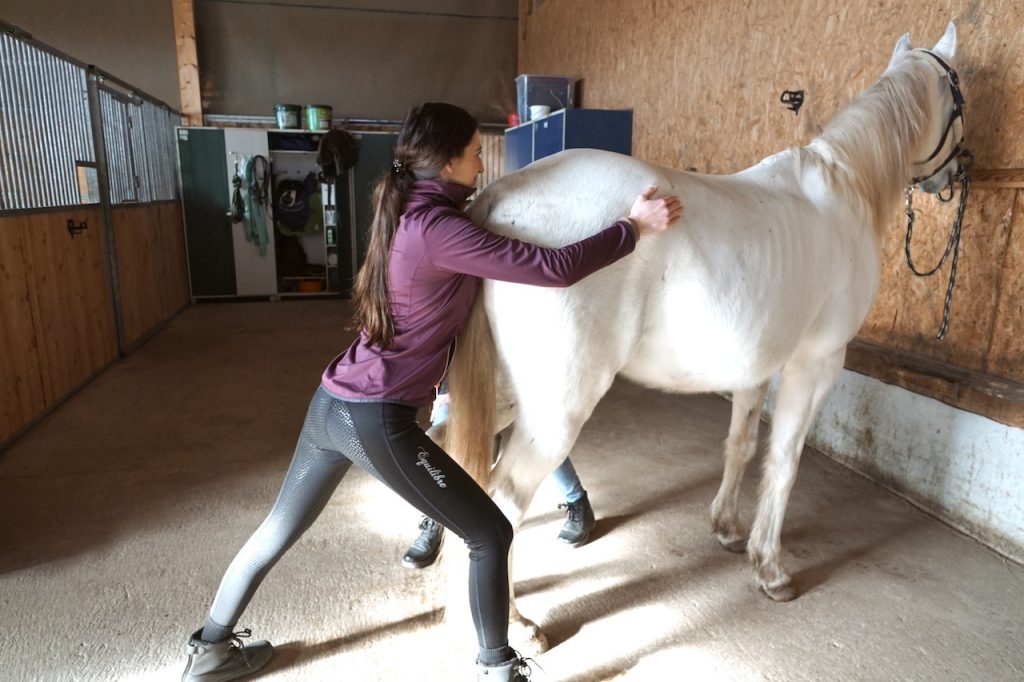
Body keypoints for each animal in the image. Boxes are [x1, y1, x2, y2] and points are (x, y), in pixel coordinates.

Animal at [440, 23, 967, 653]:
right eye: (959, 94)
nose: (956, 173)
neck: (845, 191)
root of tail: (497, 200)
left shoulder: (758, 367)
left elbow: (740, 445)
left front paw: (728, 530)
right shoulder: (816, 363)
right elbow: (784, 460)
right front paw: (770, 569)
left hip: (502, 394)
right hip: (555, 410)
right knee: (503, 501)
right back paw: (517, 625)